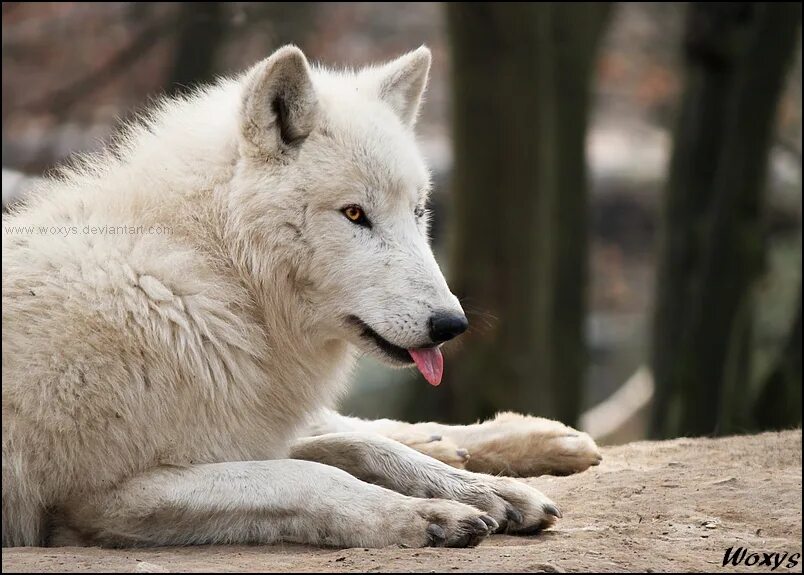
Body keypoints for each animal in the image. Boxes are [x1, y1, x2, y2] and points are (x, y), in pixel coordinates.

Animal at [1, 45, 604, 548]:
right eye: (355, 213)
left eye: (418, 212)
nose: (451, 326)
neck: (215, 279)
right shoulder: (103, 498)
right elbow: (312, 473)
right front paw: (428, 515)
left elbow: (358, 448)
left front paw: (479, 490)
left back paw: (532, 442)